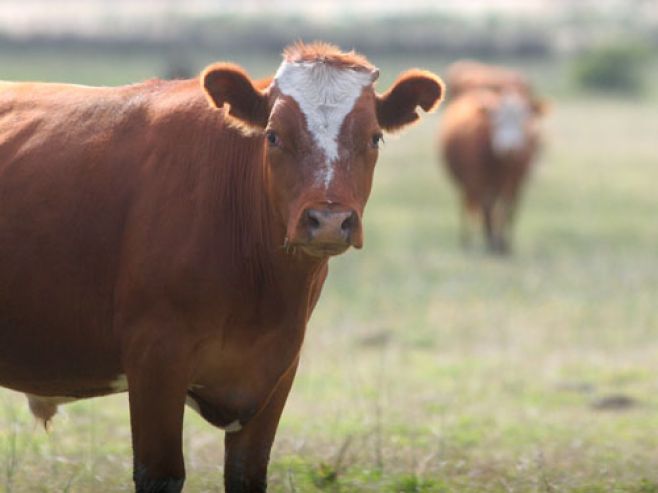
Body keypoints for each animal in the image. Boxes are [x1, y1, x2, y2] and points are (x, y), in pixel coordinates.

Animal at [0, 43, 444, 492]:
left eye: (374, 137)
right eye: (273, 135)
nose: (329, 220)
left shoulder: (276, 371)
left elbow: (247, 473)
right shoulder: (155, 361)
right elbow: (159, 473)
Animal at [438, 61, 544, 254]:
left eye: (523, 120)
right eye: (498, 121)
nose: (510, 148)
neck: (501, 163)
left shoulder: (516, 184)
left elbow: (508, 210)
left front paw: (504, 244)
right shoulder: (480, 182)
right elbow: (487, 209)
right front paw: (492, 242)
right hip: (466, 185)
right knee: (468, 207)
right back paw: (467, 240)